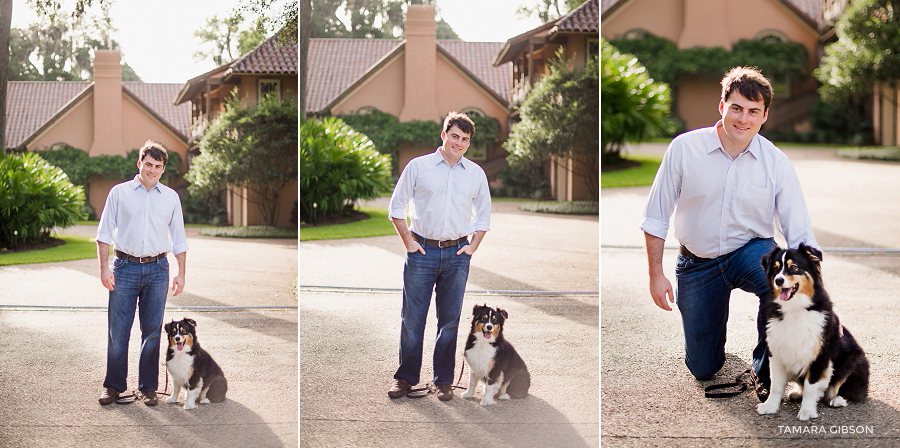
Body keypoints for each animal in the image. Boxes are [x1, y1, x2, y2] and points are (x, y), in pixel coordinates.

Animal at [756, 245, 868, 420]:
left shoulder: (819, 356)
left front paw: (807, 411)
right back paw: (797, 392)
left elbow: (811, 386)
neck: (795, 308)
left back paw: (837, 400)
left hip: (853, 360)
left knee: (842, 388)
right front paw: (770, 406)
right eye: (775, 269)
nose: (778, 280)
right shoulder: (777, 352)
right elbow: (776, 385)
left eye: (794, 267)